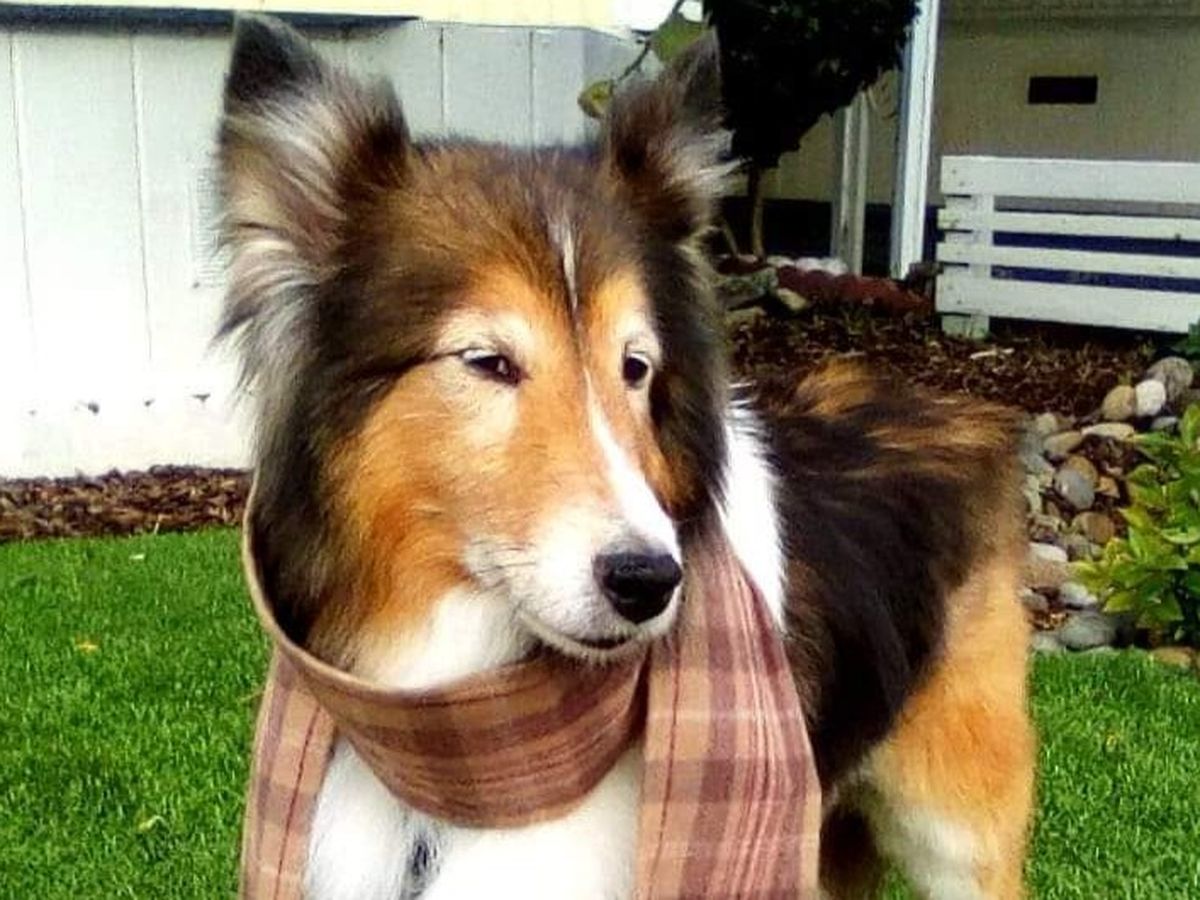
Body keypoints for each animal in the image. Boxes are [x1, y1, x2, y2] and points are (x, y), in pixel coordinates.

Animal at [218, 15, 1034, 899]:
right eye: (487, 362)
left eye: (634, 367)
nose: (649, 581)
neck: (464, 745)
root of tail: (955, 402)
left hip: (953, 830)